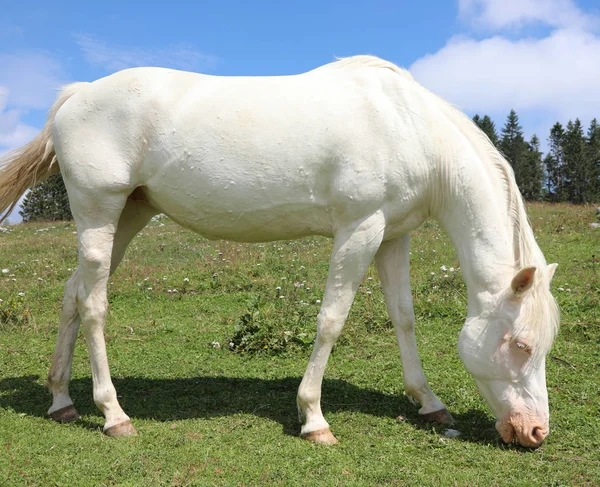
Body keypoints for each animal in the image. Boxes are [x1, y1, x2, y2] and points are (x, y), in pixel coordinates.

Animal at [0, 55, 556, 448]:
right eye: (521, 345)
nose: (534, 432)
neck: (409, 127)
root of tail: (76, 96)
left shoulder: (392, 236)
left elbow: (404, 317)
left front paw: (429, 403)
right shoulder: (359, 229)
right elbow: (331, 319)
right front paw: (314, 418)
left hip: (128, 216)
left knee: (72, 295)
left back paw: (61, 400)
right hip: (99, 212)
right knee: (93, 306)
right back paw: (113, 415)